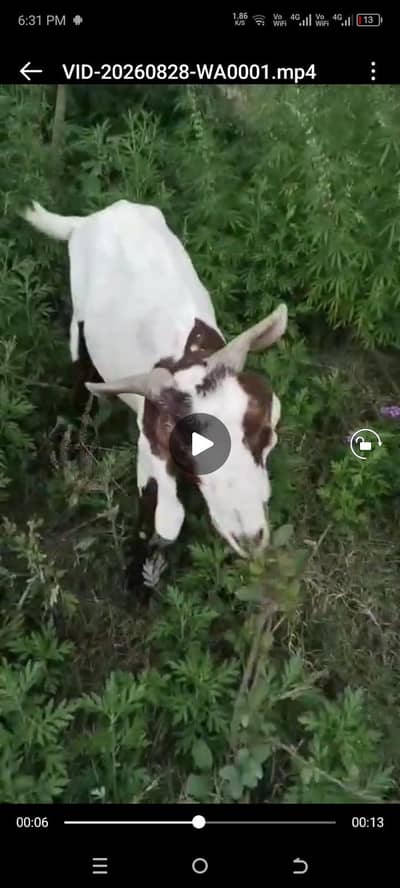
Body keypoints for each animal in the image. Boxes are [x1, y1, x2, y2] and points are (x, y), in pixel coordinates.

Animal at [22, 199, 288, 559]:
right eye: (186, 450)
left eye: (263, 433)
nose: (250, 538)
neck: (185, 356)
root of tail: (93, 218)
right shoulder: (151, 447)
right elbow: (158, 522)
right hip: (79, 325)